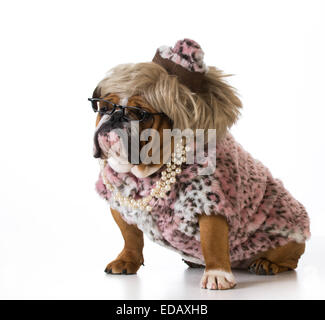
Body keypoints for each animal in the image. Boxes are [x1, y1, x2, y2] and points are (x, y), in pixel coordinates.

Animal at [90, 38, 310, 288]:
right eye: (103, 108)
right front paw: (127, 260)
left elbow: (212, 242)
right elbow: (131, 237)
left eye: (141, 114)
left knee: (289, 260)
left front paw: (217, 274)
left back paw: (267, 264)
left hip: (286, 239)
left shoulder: (209, 205)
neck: (146, 173)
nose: (116, 117)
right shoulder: (120, 205)